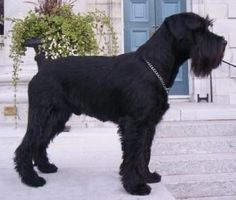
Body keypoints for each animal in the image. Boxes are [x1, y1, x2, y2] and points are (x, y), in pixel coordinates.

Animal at [14, 12, 227, 195]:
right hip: (42, 115)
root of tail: (43, 66)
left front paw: (147, 177)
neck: (154, 65)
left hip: (56, 117)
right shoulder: (133, 124)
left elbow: (144, 153)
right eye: (199, 29)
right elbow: (132, 156)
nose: (224, 42)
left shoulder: (148, 125)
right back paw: (30, 179)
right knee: (26, 145)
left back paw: (45, 167)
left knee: (40, 142)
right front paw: (136, 186)